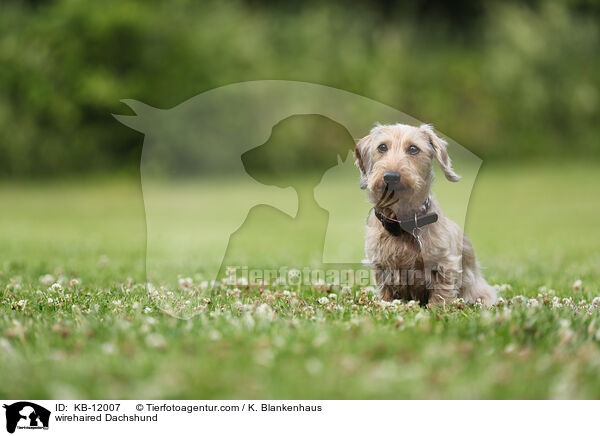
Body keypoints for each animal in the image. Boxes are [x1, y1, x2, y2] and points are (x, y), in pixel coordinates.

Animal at [354, 122, 500, 306]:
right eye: (382, 147)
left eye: (413, 148)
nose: (391, 176)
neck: (401, 222)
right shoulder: (380, 266)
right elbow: (385, 291)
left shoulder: (445, 263)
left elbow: (441, 292)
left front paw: (436, 307)